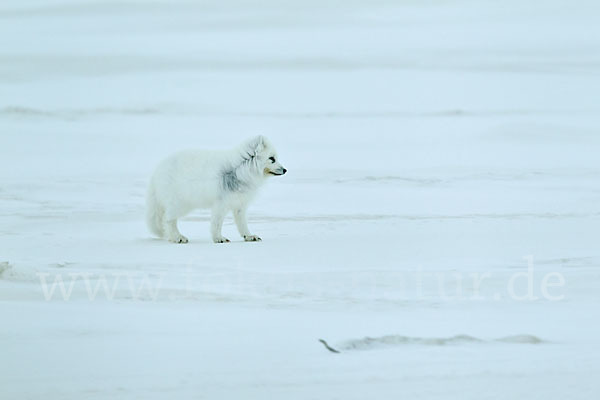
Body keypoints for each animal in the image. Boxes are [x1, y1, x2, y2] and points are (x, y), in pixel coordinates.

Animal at [145, 136, 286, 244]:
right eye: (272, 158)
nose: (285, 170)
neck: (239, 170)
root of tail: (156, 172)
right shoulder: (221, 203)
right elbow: (216, 223)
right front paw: (219, 238)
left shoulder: (240, 204)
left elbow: (242, 224)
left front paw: (249, 236)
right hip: (181, 204)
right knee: (168, 220)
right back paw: (177, 237)